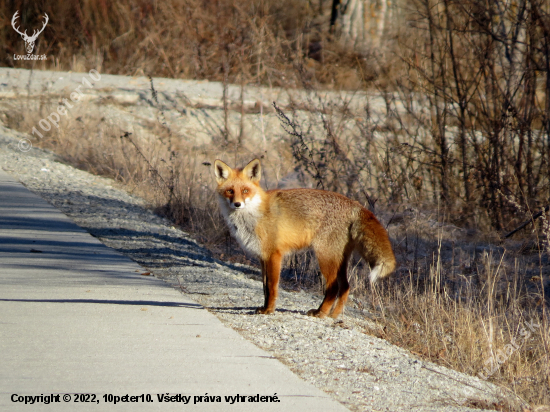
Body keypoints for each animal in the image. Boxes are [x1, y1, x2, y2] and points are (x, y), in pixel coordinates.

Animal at [215, 159, 396, 318]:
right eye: (230, 191)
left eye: (245, 191)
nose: (237, 204)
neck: (254, 215)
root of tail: (355, 204)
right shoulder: (262, 257)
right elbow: (265, 287)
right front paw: (264, 307)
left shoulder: (274, 255)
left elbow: (272, 287)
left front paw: (269, 310)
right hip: (339, 260)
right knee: (345, 287)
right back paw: (334, 315)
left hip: (325, 257)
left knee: (334, 288)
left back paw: (320, 313)